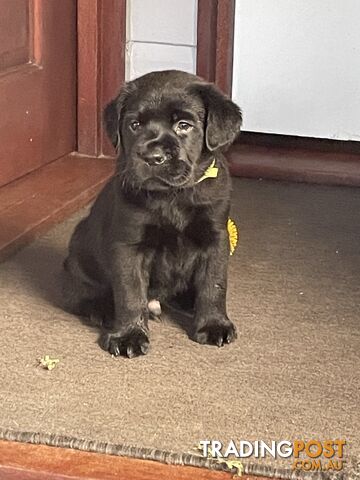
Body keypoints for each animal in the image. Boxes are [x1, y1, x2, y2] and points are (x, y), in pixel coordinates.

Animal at [62, 69, 242, 358]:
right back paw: (102, 310)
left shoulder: (216, 237)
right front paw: (129, 335)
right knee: (80, 294)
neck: (172, 196)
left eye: (184, 125)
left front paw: (214, 324)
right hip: (79, 259)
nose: (153, 157)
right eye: (134, 125)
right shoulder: (129, 245)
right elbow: (130, 293)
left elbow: (214, 283)